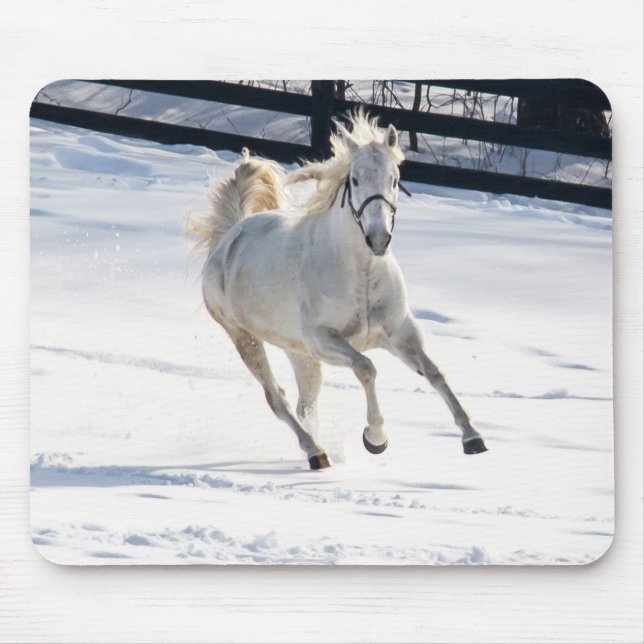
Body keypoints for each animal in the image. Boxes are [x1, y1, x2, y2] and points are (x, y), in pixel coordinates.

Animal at [189, 111, 487, 470]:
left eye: (394, 179)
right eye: (355, 180)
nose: (378, 238)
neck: (361, 276)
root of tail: (229, 237)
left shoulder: (400, 333)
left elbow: (435, 373)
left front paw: (472, 437)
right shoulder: (324, 340)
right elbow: (366, 368)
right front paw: (376, 438)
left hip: (298, 352)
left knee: (304, 404)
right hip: (245, 338)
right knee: (277, 398)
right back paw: (315, 452)